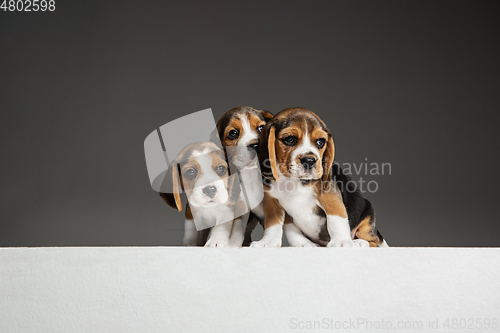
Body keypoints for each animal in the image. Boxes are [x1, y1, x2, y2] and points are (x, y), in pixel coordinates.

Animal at [212, 106, 274, 246]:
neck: (251, 175)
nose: (256, 145)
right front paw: (233, 244)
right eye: (233, 133)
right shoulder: (242, 205)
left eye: (261, 128)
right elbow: (237, 230)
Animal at [250, 107, 386, 248]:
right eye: (290, 139)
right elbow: (276, 226)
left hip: (367, 213)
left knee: (374, 241)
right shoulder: (272, 202)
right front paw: (269, 242)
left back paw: (358, 242)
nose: (309, 160)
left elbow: (337, 220)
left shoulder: (330, 197)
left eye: (320, 142)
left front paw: (341, 242)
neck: (292, 181)